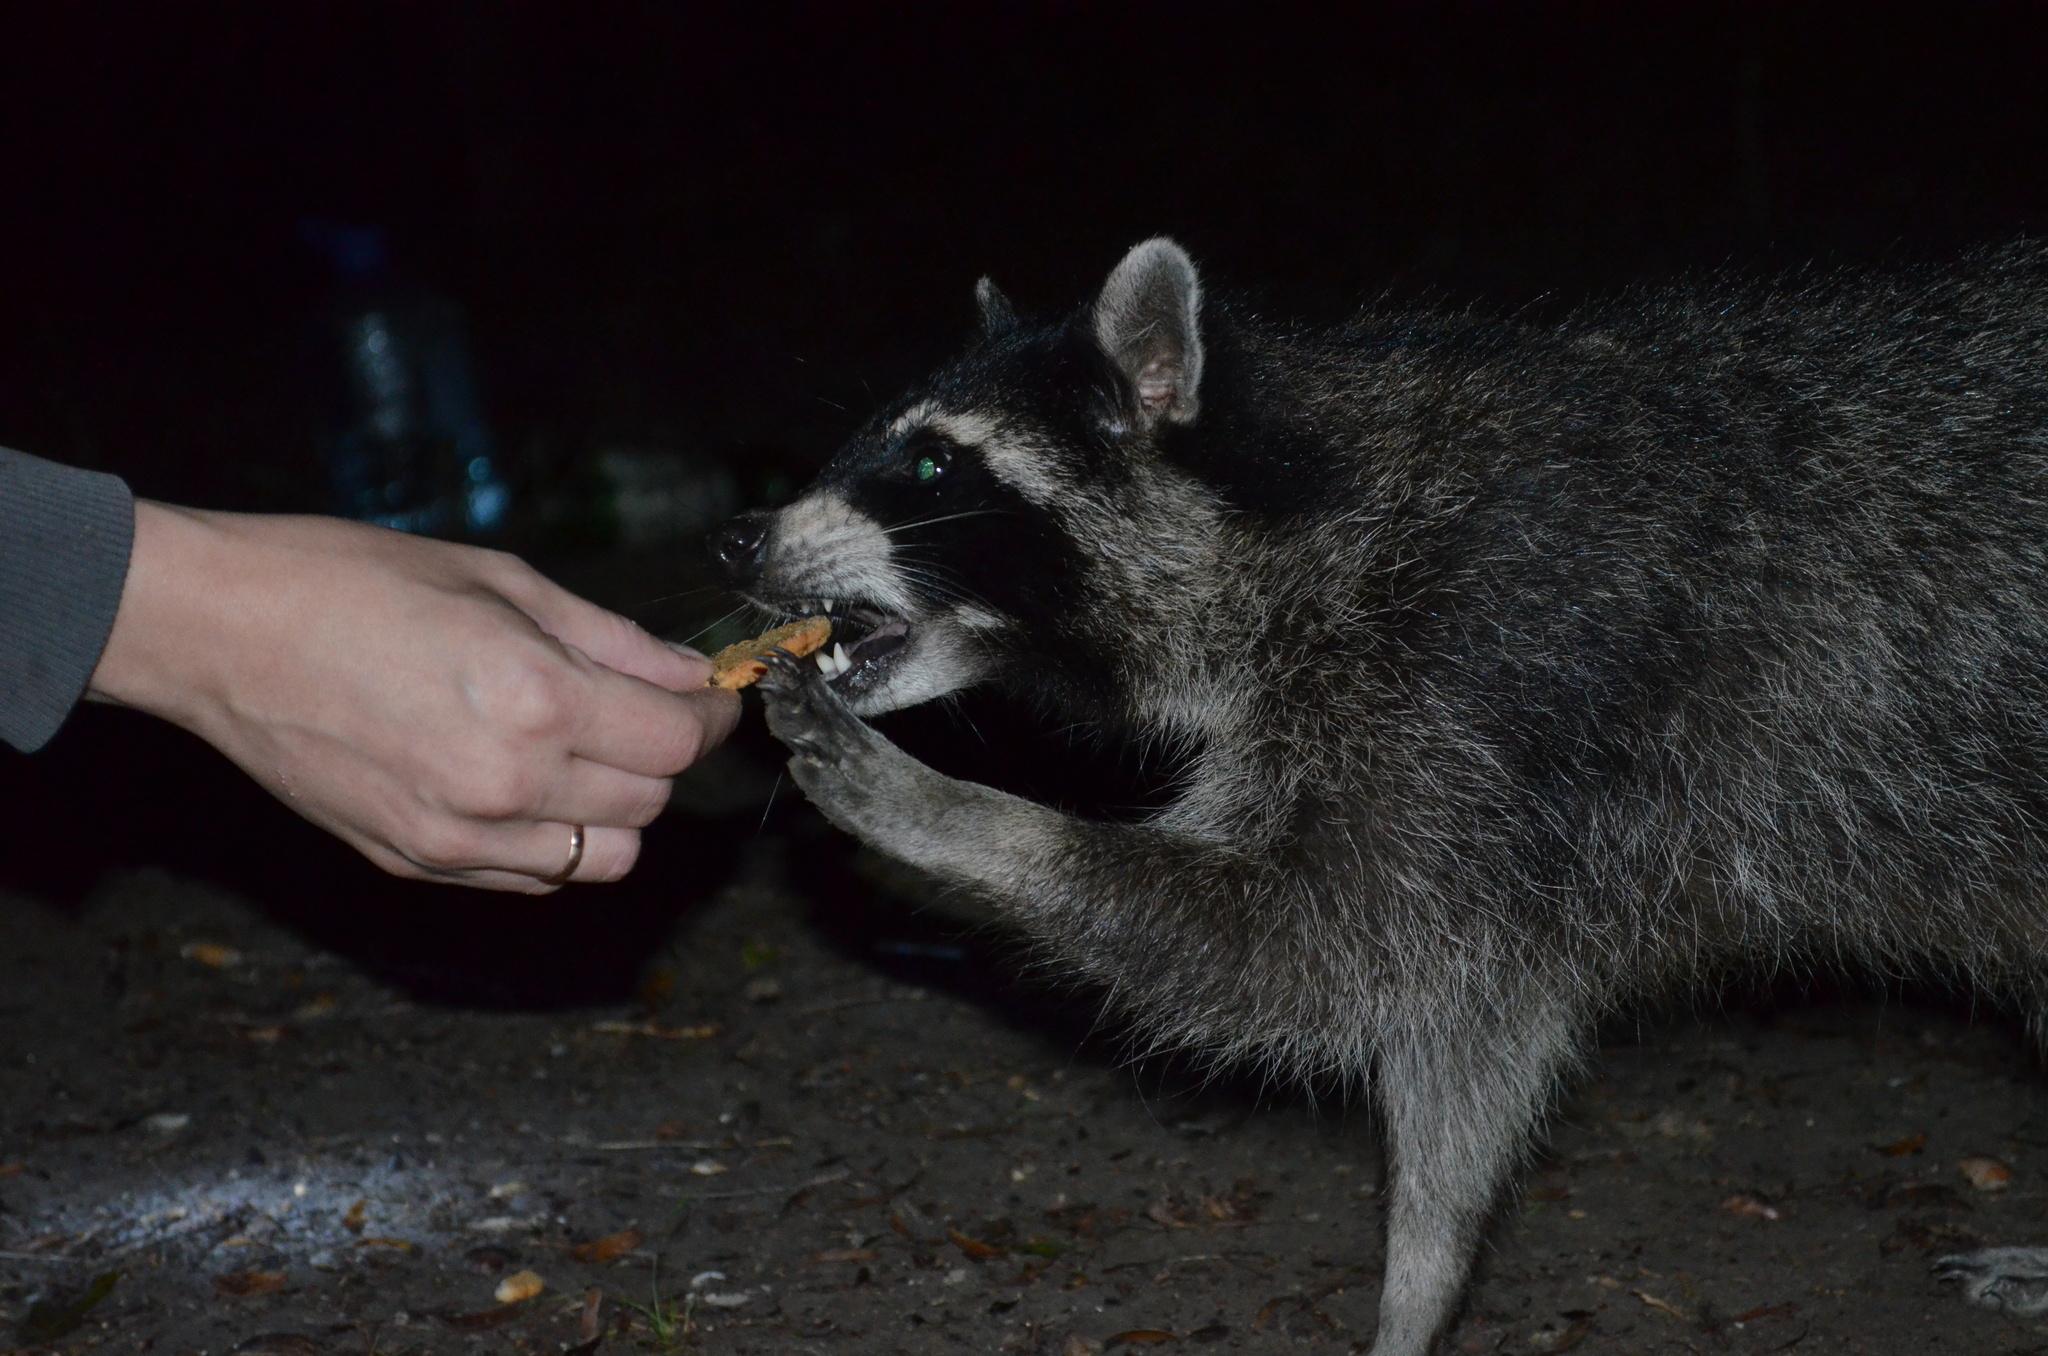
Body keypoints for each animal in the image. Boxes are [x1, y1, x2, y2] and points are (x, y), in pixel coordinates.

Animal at [712, 238, 2048, 1351]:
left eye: (932, 460)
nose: (736, 537)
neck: (1305, 522)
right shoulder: (1480, 811)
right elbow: (1461, 1032)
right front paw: (1425, 1278)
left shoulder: (1484, 686)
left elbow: (1314, 950)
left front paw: (961, 821)